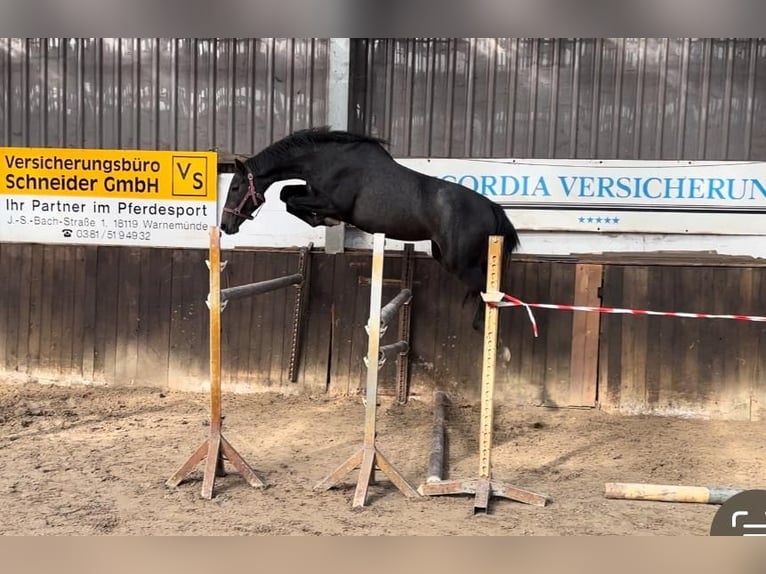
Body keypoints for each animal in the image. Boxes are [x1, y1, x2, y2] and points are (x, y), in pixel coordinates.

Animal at [219, 127, 520, 330]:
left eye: (235, 187)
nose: (225, 225)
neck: (326, 159)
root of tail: (491, 207)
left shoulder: (331, 202)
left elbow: (290, 200)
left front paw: (325, 221)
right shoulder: (312, 193)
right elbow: (286, 195)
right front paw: (321, 220)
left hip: (460, 264)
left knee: (492, 291)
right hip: (448, 258)